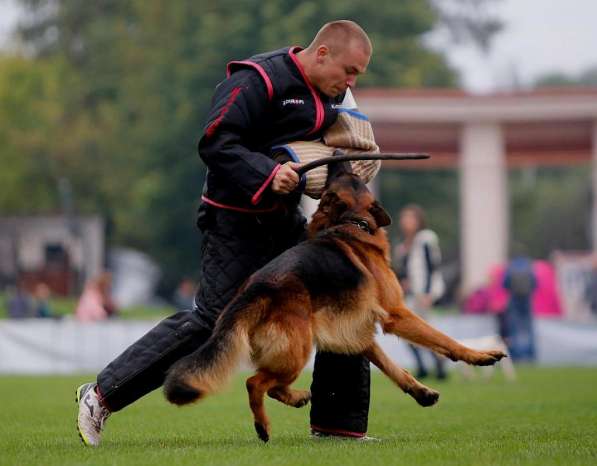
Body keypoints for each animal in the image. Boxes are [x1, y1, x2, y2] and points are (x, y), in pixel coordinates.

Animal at [164, 159, 508, 440]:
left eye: (340, 175)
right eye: (349, 176)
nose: (337, 156)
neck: (351, 222)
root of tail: (255, 290)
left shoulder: (357, 334)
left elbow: (395, 368)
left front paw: (421, 392)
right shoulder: (397, 313)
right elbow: (443, 339)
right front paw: (480, 355)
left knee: (271, 386)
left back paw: (296, 398)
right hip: (297, 349)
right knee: (255, 383)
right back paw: (263, 426)